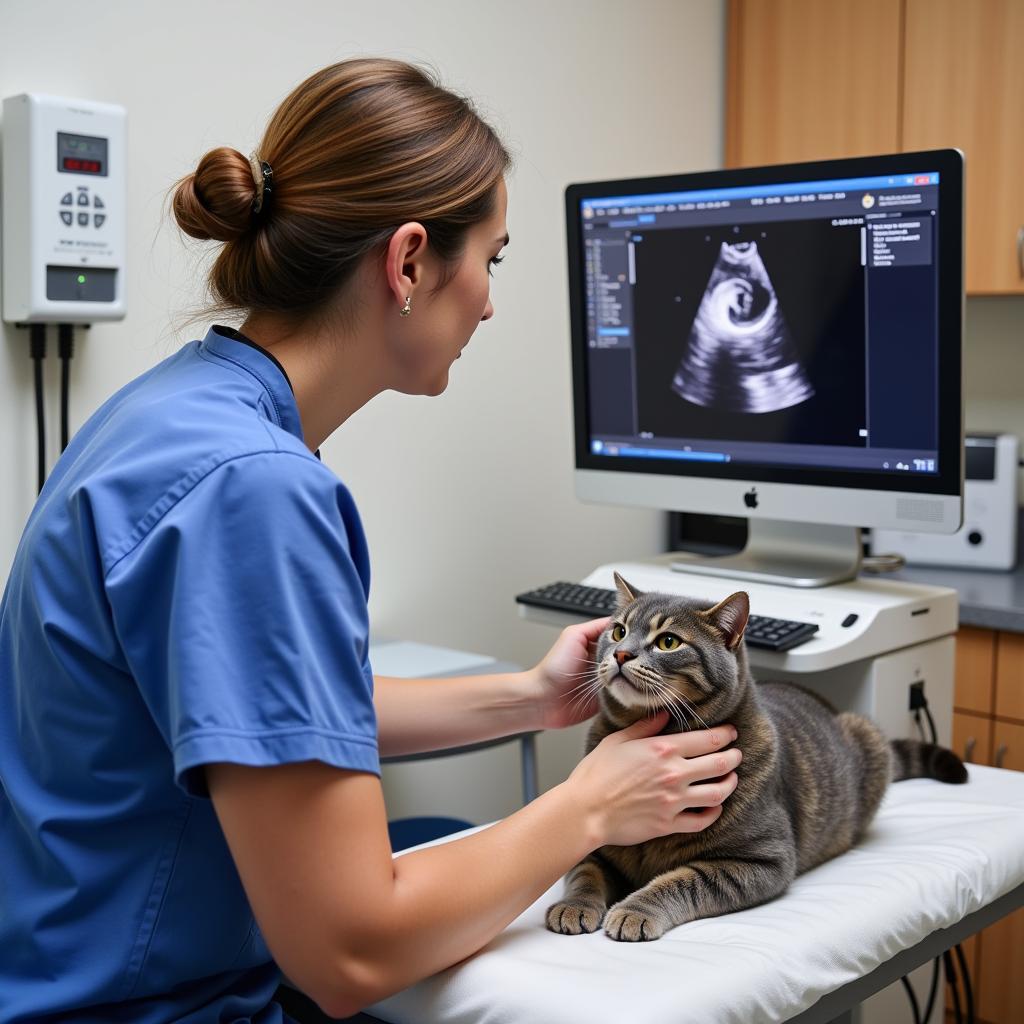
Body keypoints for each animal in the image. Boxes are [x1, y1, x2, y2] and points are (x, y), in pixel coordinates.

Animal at [544, 573, 966, 937]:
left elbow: (680, 881)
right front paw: (574, 905)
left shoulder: (762, 860)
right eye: (617, 631)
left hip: (869, 736)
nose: (621, 654)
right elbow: (584, 872)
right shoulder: (593, 841)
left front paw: (636, 909)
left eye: (668, 642)